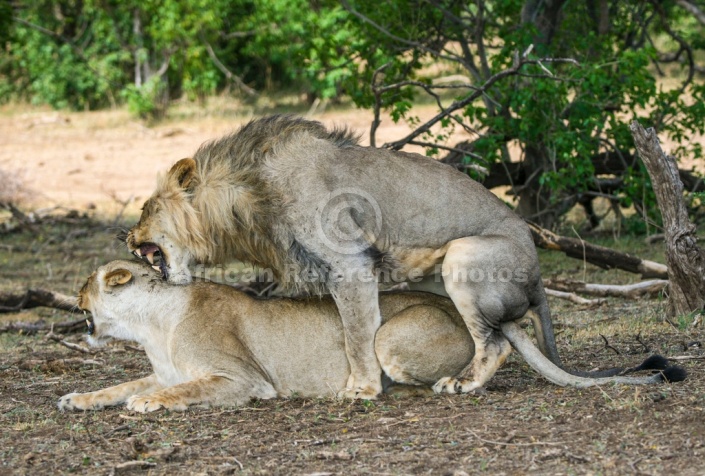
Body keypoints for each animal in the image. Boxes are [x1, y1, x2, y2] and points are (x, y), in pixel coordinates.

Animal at [122, 115, 592, 398]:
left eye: (146, 208)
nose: (127, 238)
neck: (246, 203)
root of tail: (537, 276)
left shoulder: (351, 265)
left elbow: (357, 334)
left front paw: (362, 389)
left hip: (463, 254)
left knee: (495, 343)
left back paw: (460, 383)